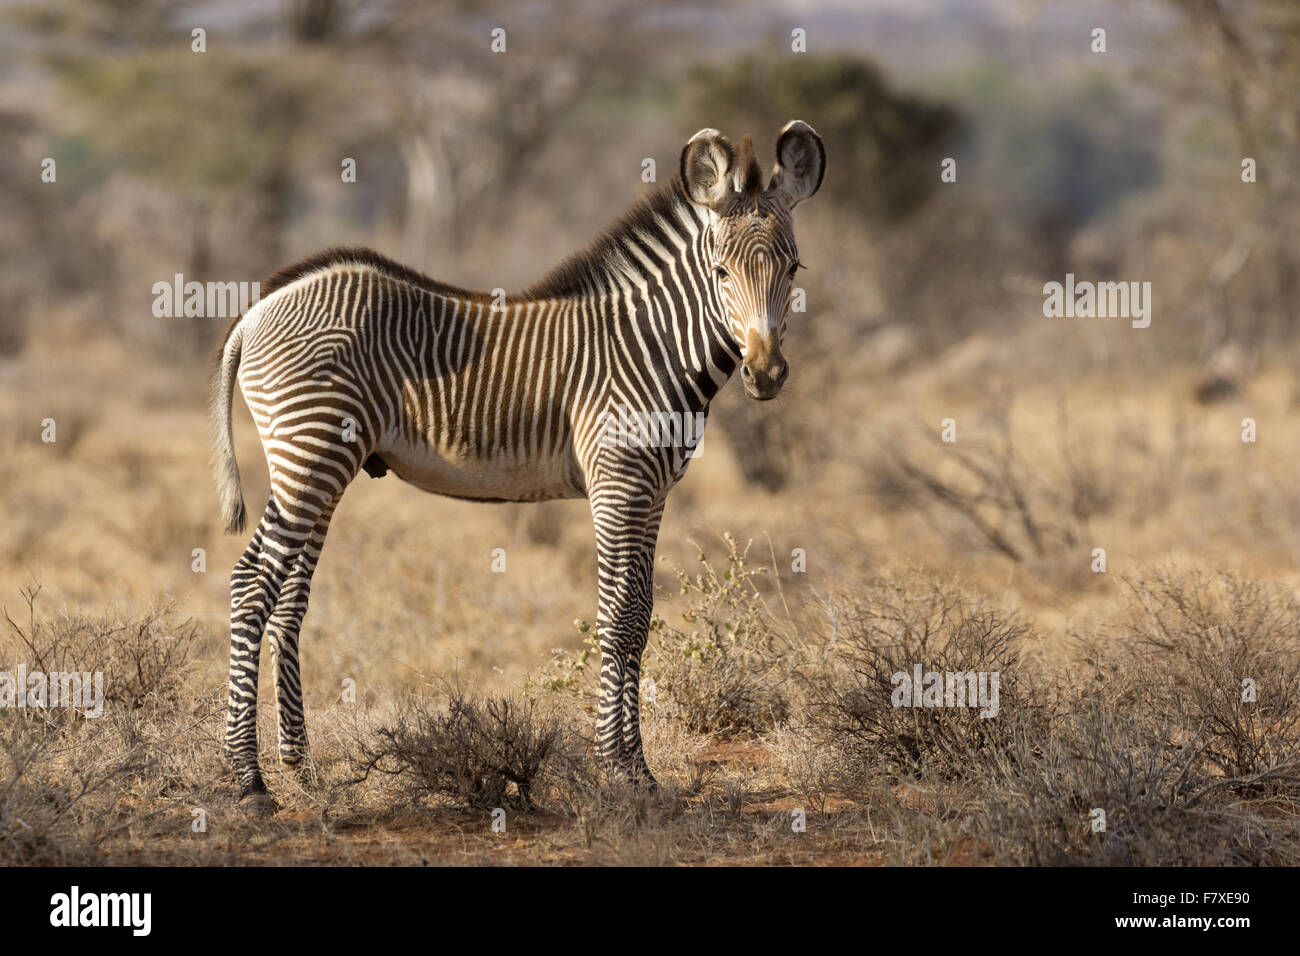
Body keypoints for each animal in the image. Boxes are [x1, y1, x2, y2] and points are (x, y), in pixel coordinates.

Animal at [212, 121, 825, 809]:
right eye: (720, 272)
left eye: (794, 269)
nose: (765, 375)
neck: (655, 345)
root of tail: (258, 308)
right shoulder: (617, 482)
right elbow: (617, 617)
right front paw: (618, 768)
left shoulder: (654, 489)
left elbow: (640, 617)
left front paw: (640, 772)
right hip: (309, 453)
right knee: (250, 585)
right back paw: (249, 780)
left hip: (319, 464)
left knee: (288, 599)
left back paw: (300, 768)